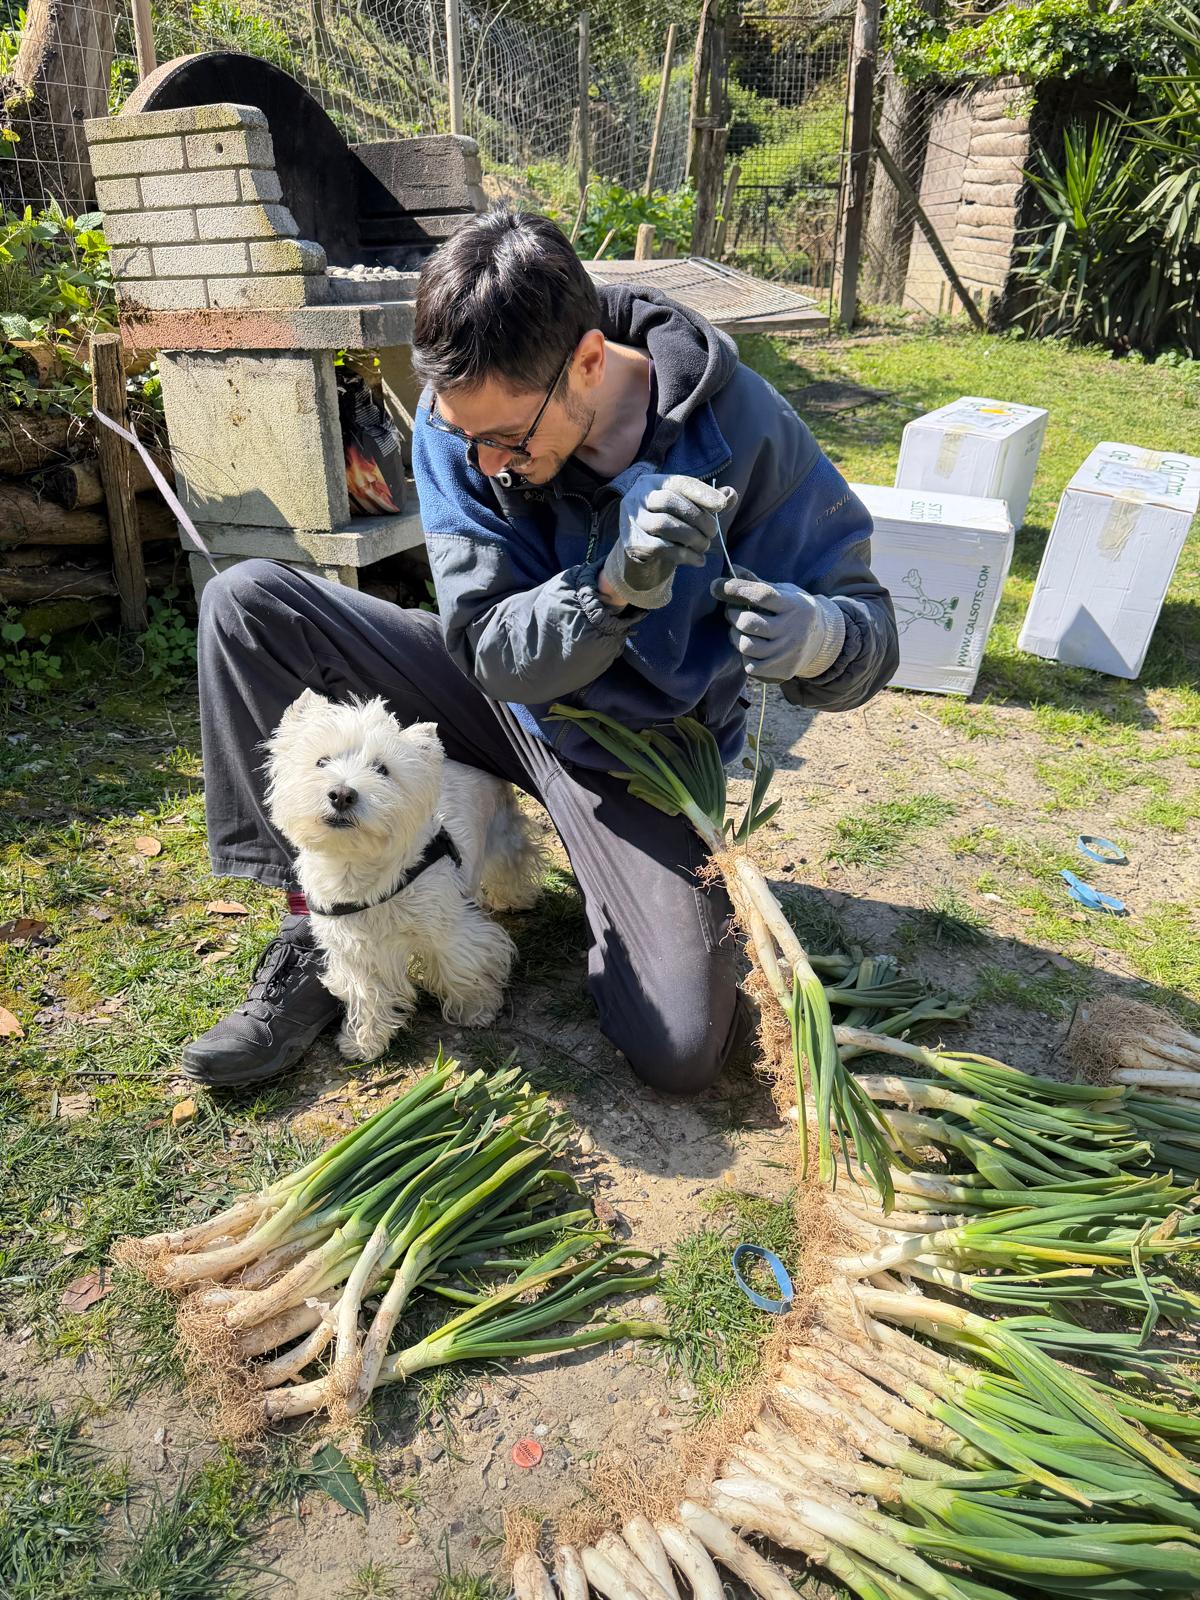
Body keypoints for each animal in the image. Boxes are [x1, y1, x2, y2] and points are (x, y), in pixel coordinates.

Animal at [263, 689, 543, 1062]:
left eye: (383, 769)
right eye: (321, 761)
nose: (342, 794)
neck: (357, 870)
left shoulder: (448, 928)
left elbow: (463, 965)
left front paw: (477, 1009)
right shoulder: (354, 951)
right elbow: (367, 995)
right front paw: (363, 1042)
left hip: (501, 830)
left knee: (513, 860)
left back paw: (515, 898)